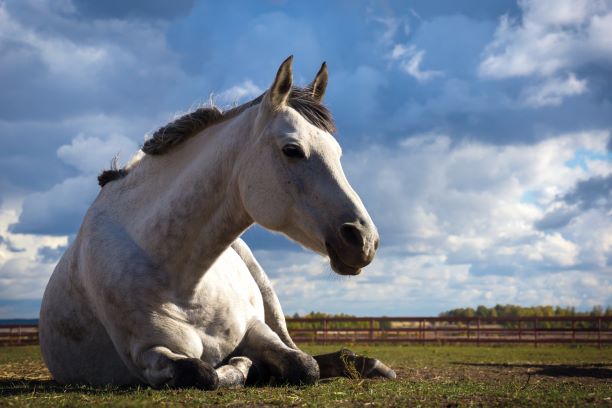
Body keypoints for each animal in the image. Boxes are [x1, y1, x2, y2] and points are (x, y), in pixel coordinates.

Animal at [38, 56, 394, 388]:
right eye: (292, 149)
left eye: (337, 152)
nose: (364, 239)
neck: (184, 281)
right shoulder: (148, 354)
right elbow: (205, 373)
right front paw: (244, 367)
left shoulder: (256, 327)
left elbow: (304, 364)